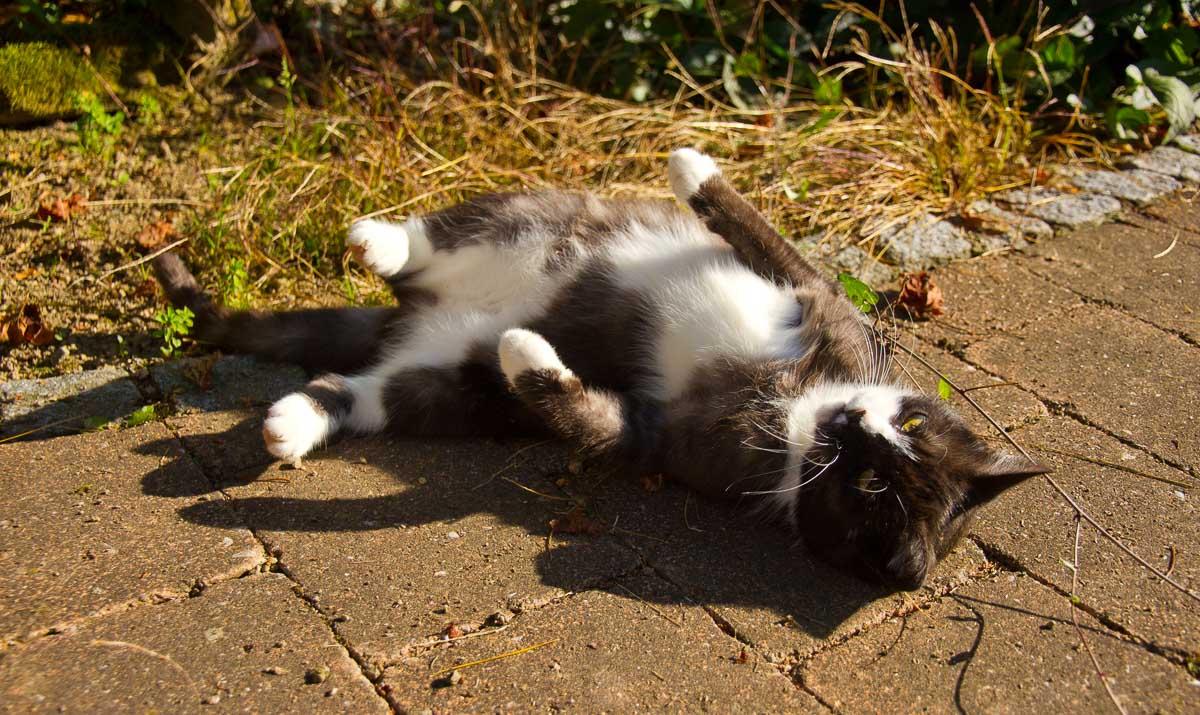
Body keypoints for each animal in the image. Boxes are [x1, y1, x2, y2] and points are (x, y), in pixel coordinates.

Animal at [154, 148, 1046, 590]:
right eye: (913, 420)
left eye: (869, 486)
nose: (855, 421)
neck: (793, 409)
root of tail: (423, 312)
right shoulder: (822, 303)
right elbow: (762, 233)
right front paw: (694, 164)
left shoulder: (662, 439)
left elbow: (590, 417)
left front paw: (531, 356)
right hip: (541, 216)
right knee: (447, 232)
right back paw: (380, 240)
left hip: (450, 383)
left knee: (377, 391)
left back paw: (294, 420)